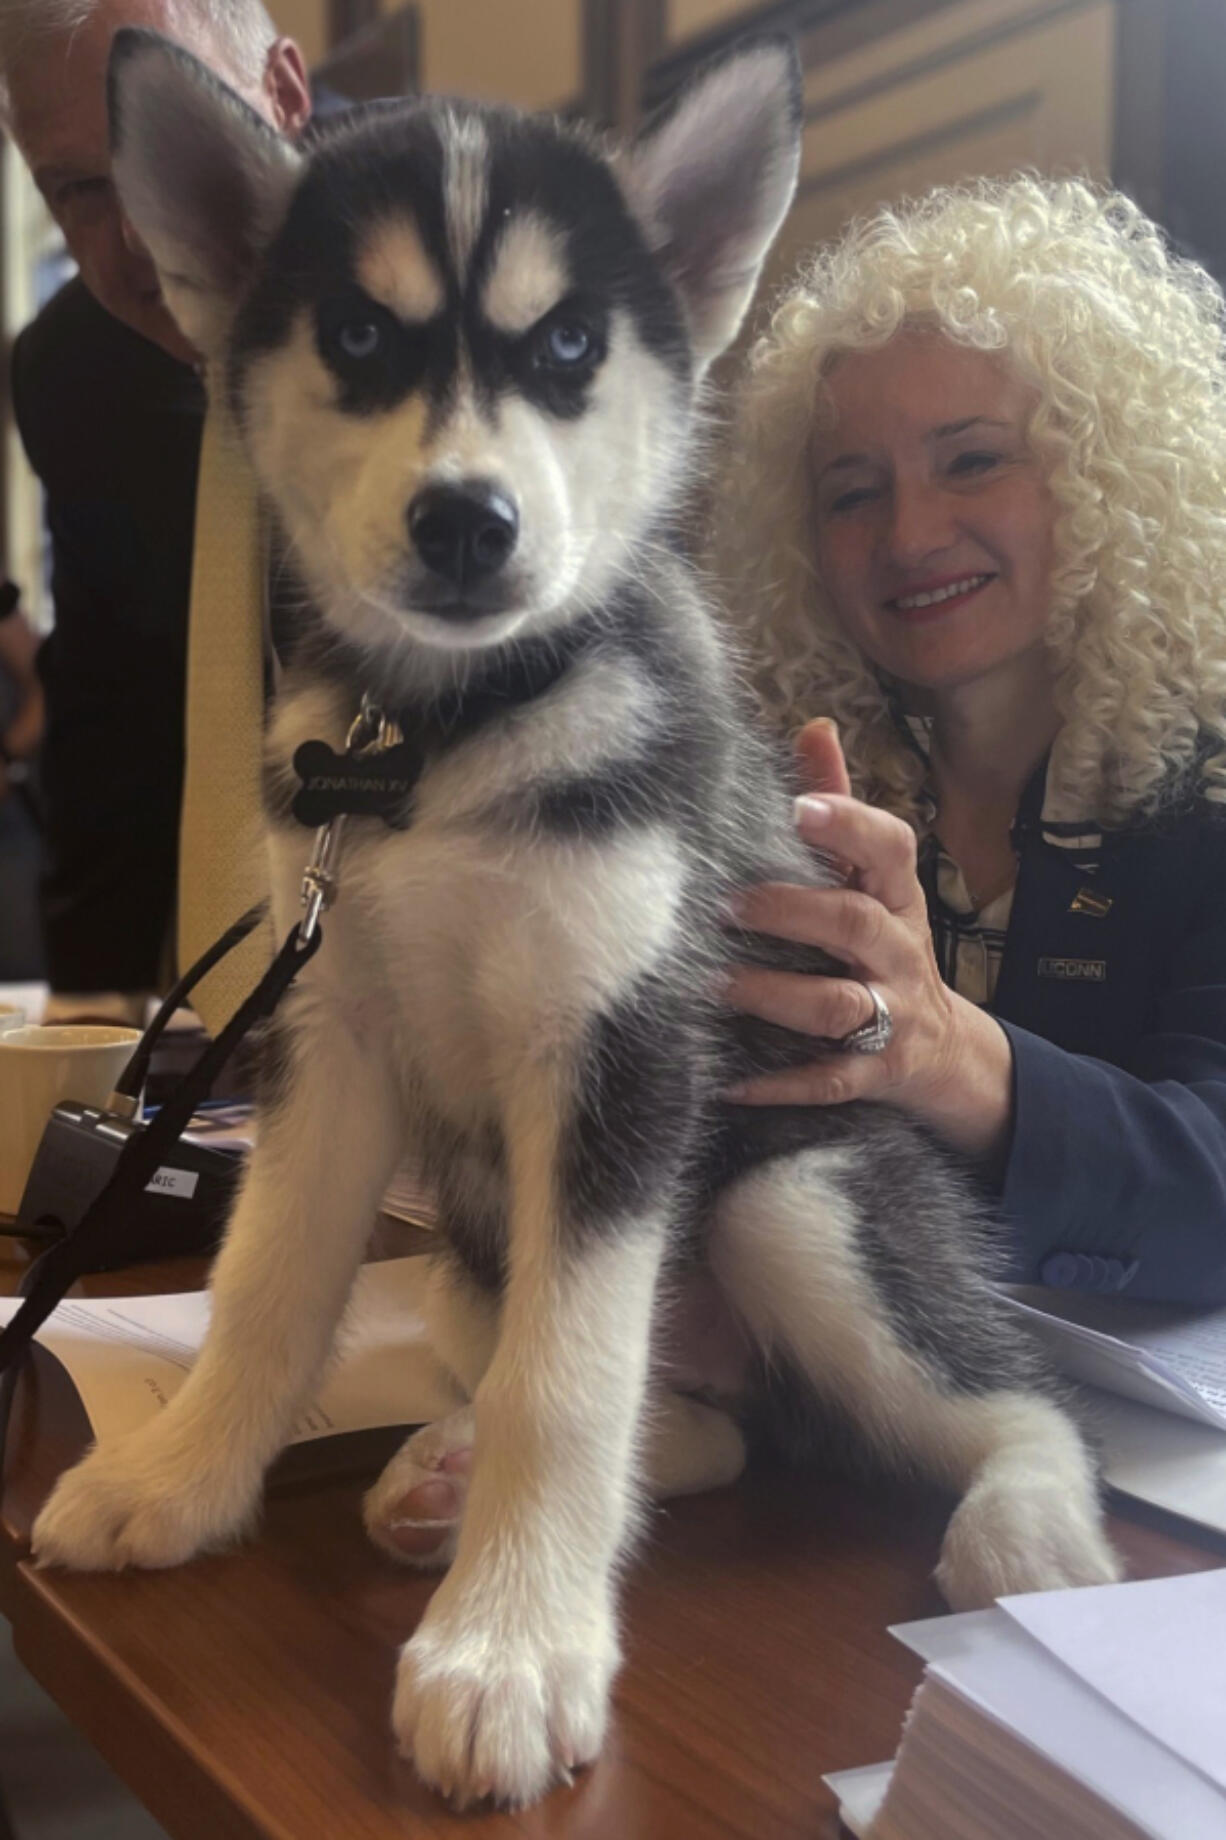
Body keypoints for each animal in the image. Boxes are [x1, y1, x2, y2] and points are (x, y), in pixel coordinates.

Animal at [31, 28, 1119, 1810]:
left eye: (564, 347)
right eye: (356, 336)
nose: (466, 522)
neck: (445, 737)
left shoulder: (620, 1056)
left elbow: (570, 1381)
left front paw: (511, 1650)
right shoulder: (331, 1037)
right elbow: (269, 1286)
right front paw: (181, 1474)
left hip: (790, 1197)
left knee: (989, 1392)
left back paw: (1026, 1528)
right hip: (473, 1260)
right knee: (687, 1423)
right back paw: (440, 1476)